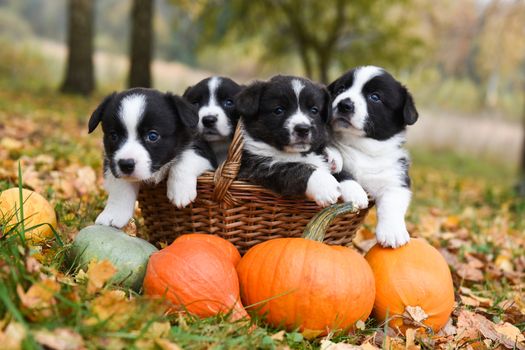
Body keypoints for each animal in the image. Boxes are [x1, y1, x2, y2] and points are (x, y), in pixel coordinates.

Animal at [88, 88, 215, 227]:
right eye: (113, 136)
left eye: (152, 136)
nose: (126, 164)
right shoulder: (111, 161)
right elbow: (120, 185)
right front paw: (114, 213)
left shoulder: (203, 149)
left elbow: (186, 157)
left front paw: (180, 190)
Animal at [235, 75, 366, 208]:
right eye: (278, 110)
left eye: (314, 110)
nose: (303, 129)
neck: (297, 153)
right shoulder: (256, 167)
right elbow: (290, 168)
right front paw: (324, 185)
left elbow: (339, 172)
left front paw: (355, 190)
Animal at [328, 65, 418, 246]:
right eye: (341, 89)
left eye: (375, 97)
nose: (344, 104)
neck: (361, 148)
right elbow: (340, 173)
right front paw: (356, 192)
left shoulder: (396, 177)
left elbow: (392, 203)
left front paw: (393, 232)